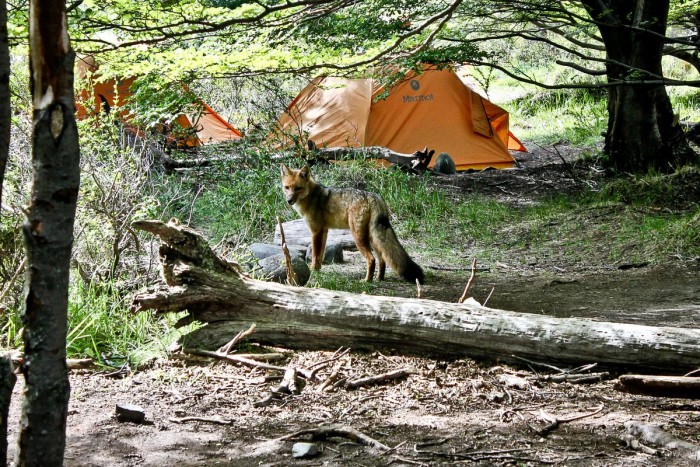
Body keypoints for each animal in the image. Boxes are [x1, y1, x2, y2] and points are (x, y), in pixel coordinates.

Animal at [280, 163, 426, 284]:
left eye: (298, 188)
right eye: (287, 188)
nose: (289, 200)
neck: (311, 196)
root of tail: (373, 196)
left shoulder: (316, 231)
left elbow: (315, 255)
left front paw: (313, 270)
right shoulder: (324, 231)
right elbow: (320, 254)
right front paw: (319, 269)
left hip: (358, 237)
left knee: (371, 259)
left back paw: (367, 281)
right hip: (373, 238)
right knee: (382, 259)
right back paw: (379, 278)